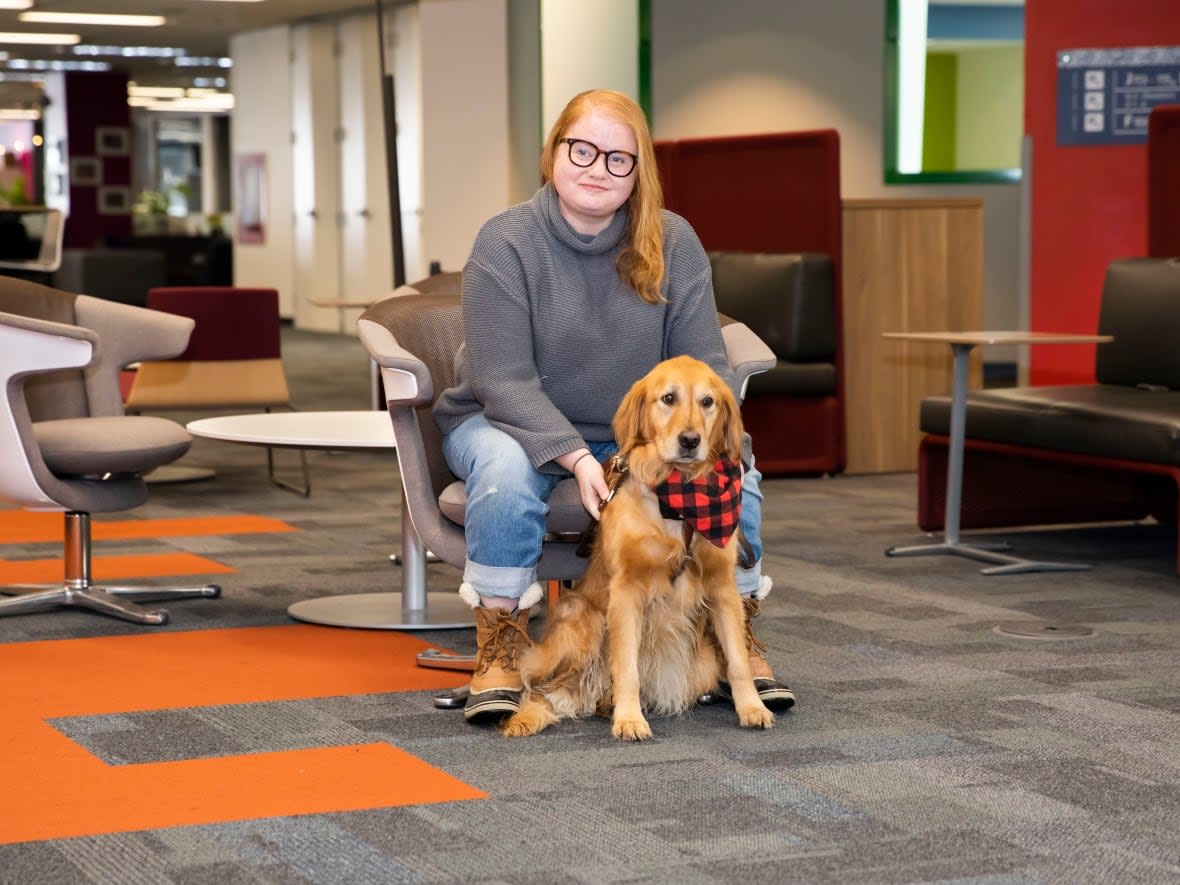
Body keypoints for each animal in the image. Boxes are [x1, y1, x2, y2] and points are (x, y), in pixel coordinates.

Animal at [502, 356, 778, 741]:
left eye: (707, 401)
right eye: (668, 398)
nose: (690, 440)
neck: (678, 504)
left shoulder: (723, 586)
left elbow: (738, 660)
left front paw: (752, 708)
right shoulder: (626, 592)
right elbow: (627, 667)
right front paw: (629, 719)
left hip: (704, 660)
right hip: (581, 618)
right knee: (539, 687)